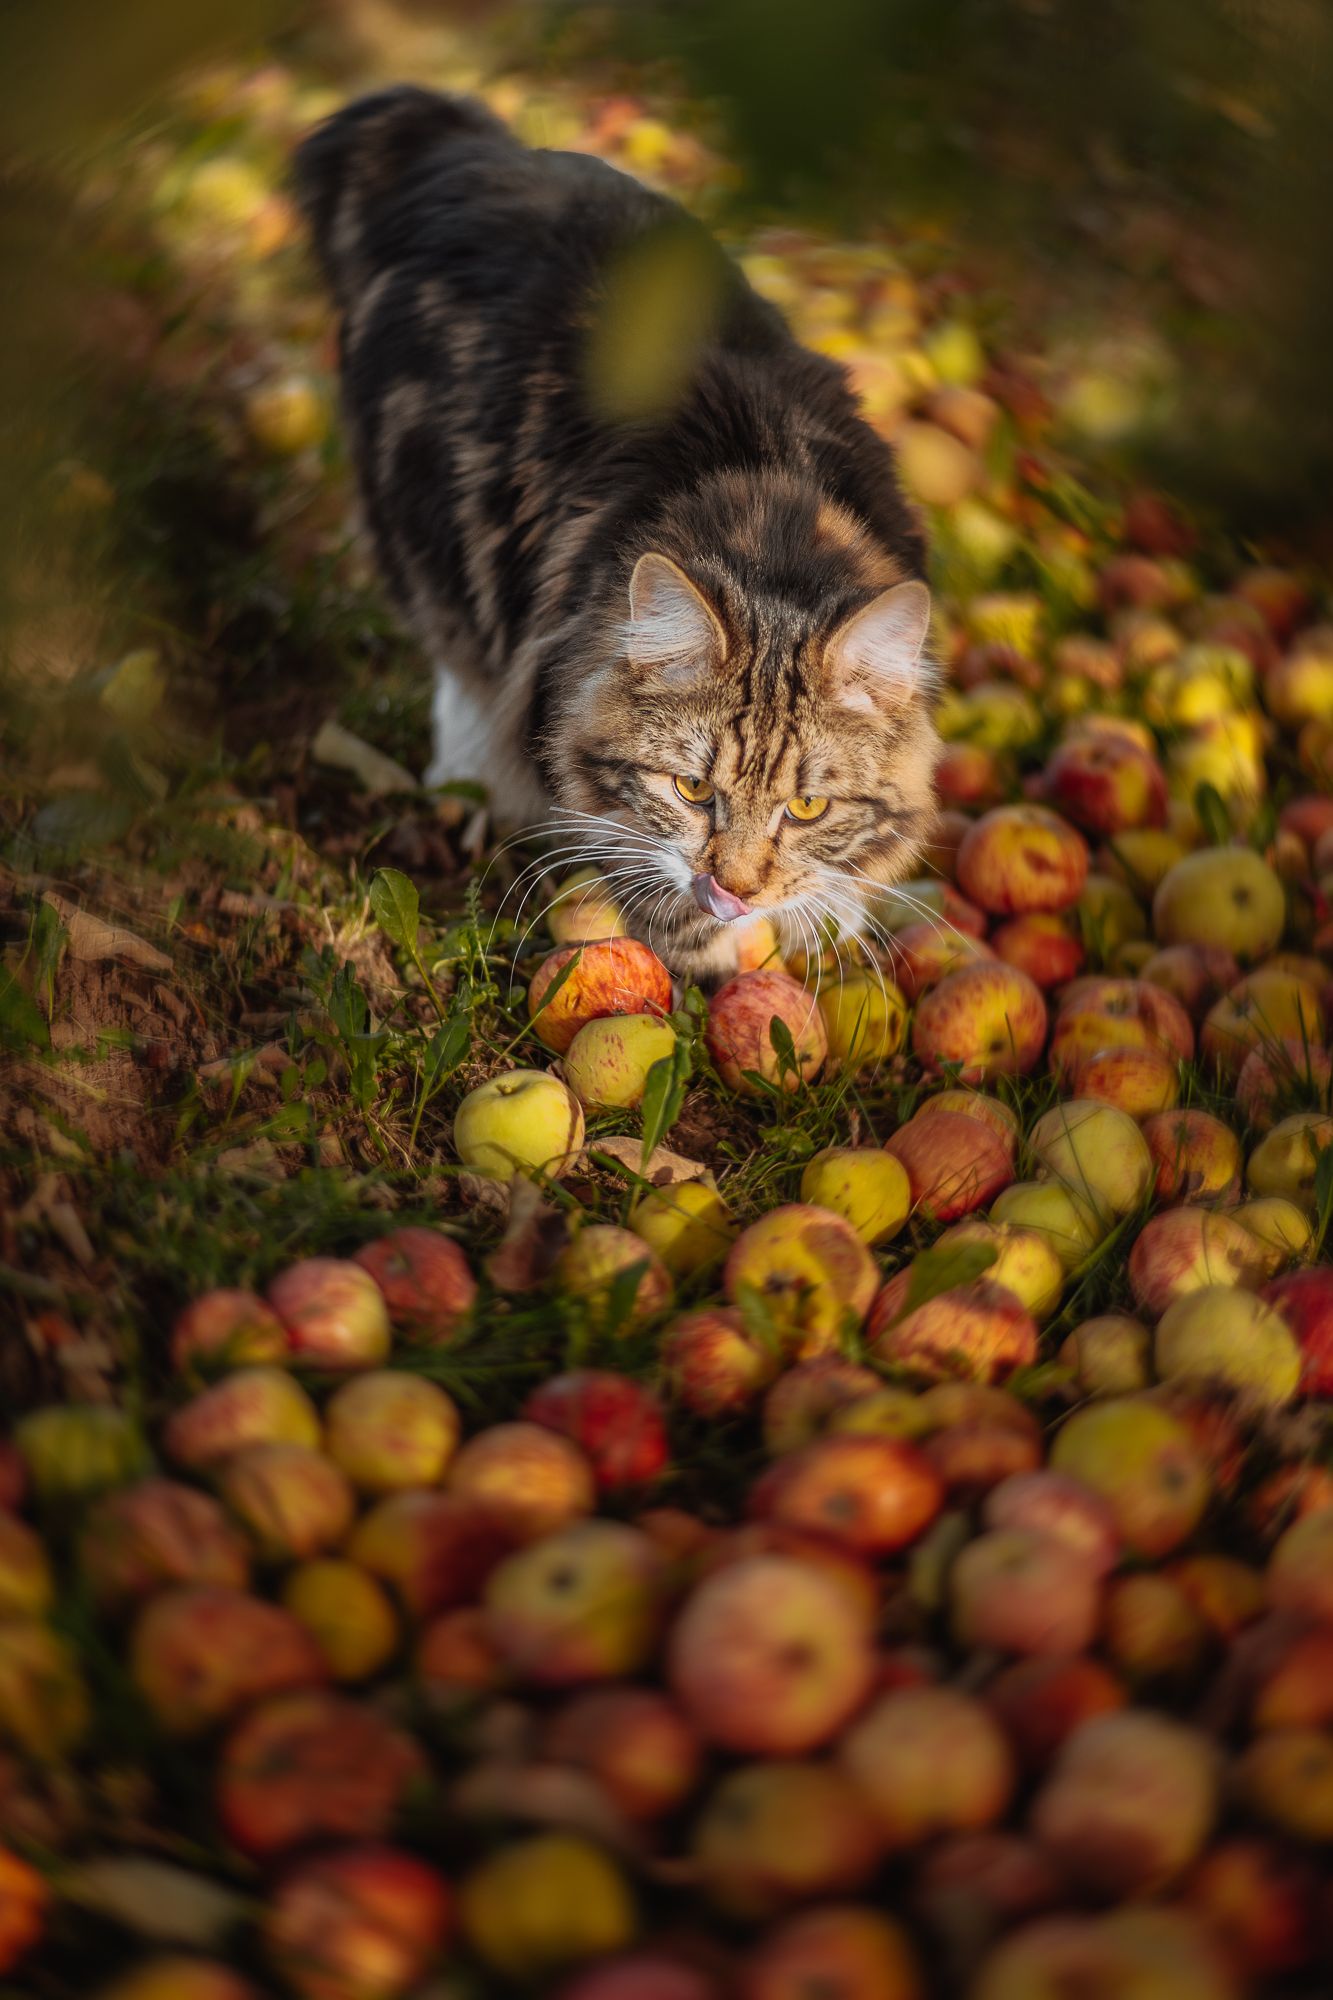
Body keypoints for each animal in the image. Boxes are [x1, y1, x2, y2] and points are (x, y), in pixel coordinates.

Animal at [294, 84, 932, 984]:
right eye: (692, 791)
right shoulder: (557, 685)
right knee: (460, 670)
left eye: (807, 806)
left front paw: (825, 907)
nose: (736, 891)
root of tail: (472, 149)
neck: (772, 503)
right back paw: (472, 782)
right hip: (432, 540)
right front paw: (715, 951)